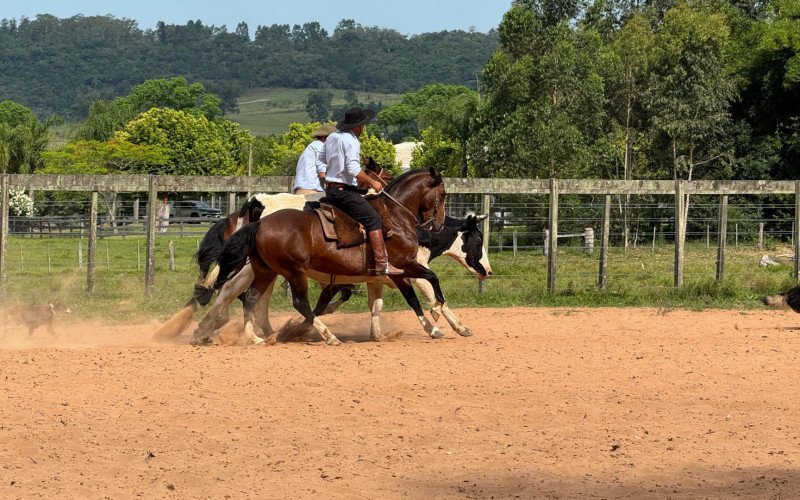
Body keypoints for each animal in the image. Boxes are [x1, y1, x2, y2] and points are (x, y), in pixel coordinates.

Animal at [212, 168, 448, 346]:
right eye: (444, 194)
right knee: (298, 302)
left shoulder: (394, 274)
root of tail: (260, 221)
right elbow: (429, 282)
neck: (395, 217)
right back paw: (329, 336)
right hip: (293, 271)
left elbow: (404, 300)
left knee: (251, 297)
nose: (438, 225)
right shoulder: (403, 265)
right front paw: (436, 314)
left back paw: (255, 337)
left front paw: (433, 328)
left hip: (266, 270)